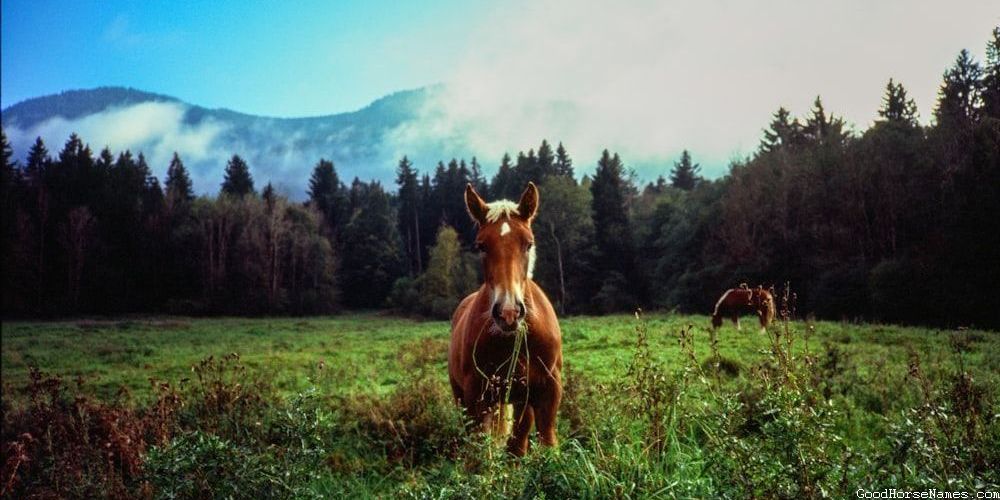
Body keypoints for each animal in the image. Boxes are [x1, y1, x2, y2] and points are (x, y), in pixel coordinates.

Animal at [448, 182, 563, 456]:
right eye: (481, 245)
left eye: (528, 244)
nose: (508, 312)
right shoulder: (476, 397)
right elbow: (478, 454)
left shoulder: (549, 391)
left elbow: (547, 444)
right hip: (463, 398)